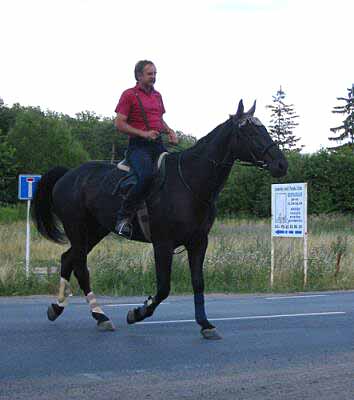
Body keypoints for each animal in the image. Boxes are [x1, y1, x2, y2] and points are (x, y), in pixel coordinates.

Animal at [31, 100, 288, 338]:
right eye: (250, 132)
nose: (281, 164)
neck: (190, 181)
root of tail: (68, 175)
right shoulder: (163, 244)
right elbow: (164, 287)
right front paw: (137, 313)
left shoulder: (198, 242)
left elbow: (198, 282)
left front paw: (205, 324)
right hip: (77, 228)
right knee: (80, 267)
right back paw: (100, 315)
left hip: (95, 231)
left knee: (68, 259)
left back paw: (58, 308)